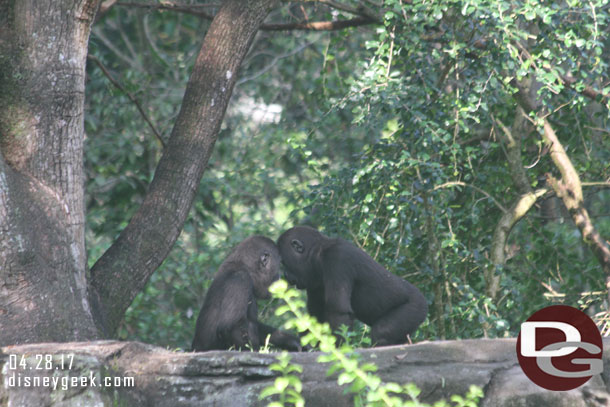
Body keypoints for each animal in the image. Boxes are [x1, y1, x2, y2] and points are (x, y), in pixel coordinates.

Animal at [276, 226, 426, 348]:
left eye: (284, 263)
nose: (285, 275)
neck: (318, 252)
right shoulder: (313, 281)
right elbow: (316, 316)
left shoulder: (338, 259)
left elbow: (339, 312)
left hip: (416, 307)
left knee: (381, 333)